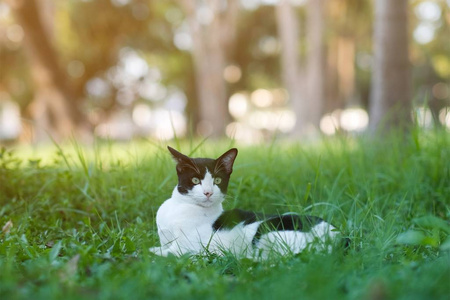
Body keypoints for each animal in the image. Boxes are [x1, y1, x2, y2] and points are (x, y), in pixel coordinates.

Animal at [149, 146, 340, 258]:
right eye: (195, 180)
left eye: (217, 180)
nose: (208, 192)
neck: (179, 207)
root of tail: (337, 236)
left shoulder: (189, 247)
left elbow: (164, 252)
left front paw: (150, 253)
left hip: (266, 232)